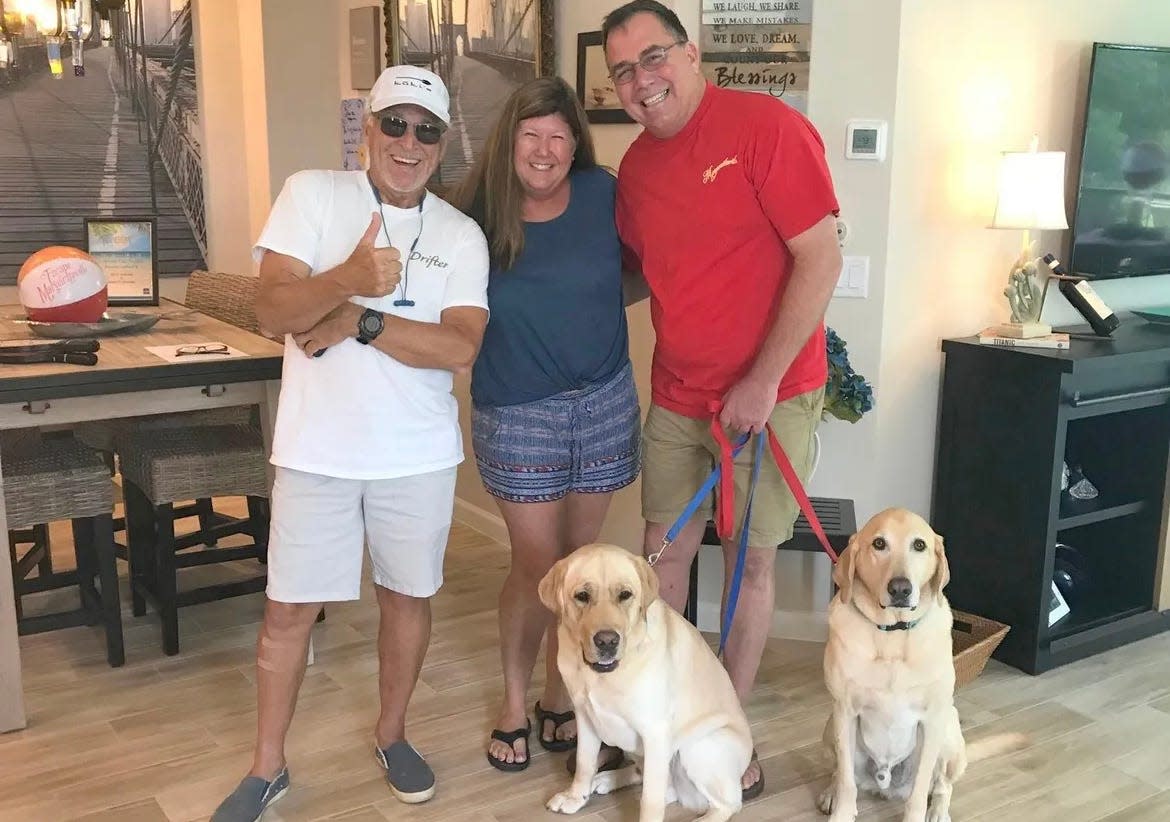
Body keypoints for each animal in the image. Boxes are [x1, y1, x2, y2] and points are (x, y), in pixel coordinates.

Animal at [535, 542, 748, 818]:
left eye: (625, 594)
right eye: (582, 595)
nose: (607, 642)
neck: (603, 675)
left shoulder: (655, 732)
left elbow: (650, 799)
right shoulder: (585, 715)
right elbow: (584, 762)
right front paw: (575, 797)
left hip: (698, 746)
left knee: (728, 804)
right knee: (655, 781)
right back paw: (605, 779)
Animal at [819, 512, 1020, 818]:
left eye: (919, 545)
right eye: (879, 543)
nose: (900, 588)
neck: (893, 632)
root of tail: (884, 783)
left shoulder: (932, 718)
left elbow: (920, 788)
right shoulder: (844, 711)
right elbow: (845, 780)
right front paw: (841, 812)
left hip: (948, 730)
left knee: (942, 787)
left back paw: (937, 812)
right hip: (830, 727)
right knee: (841, 774)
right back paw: (831, 792)